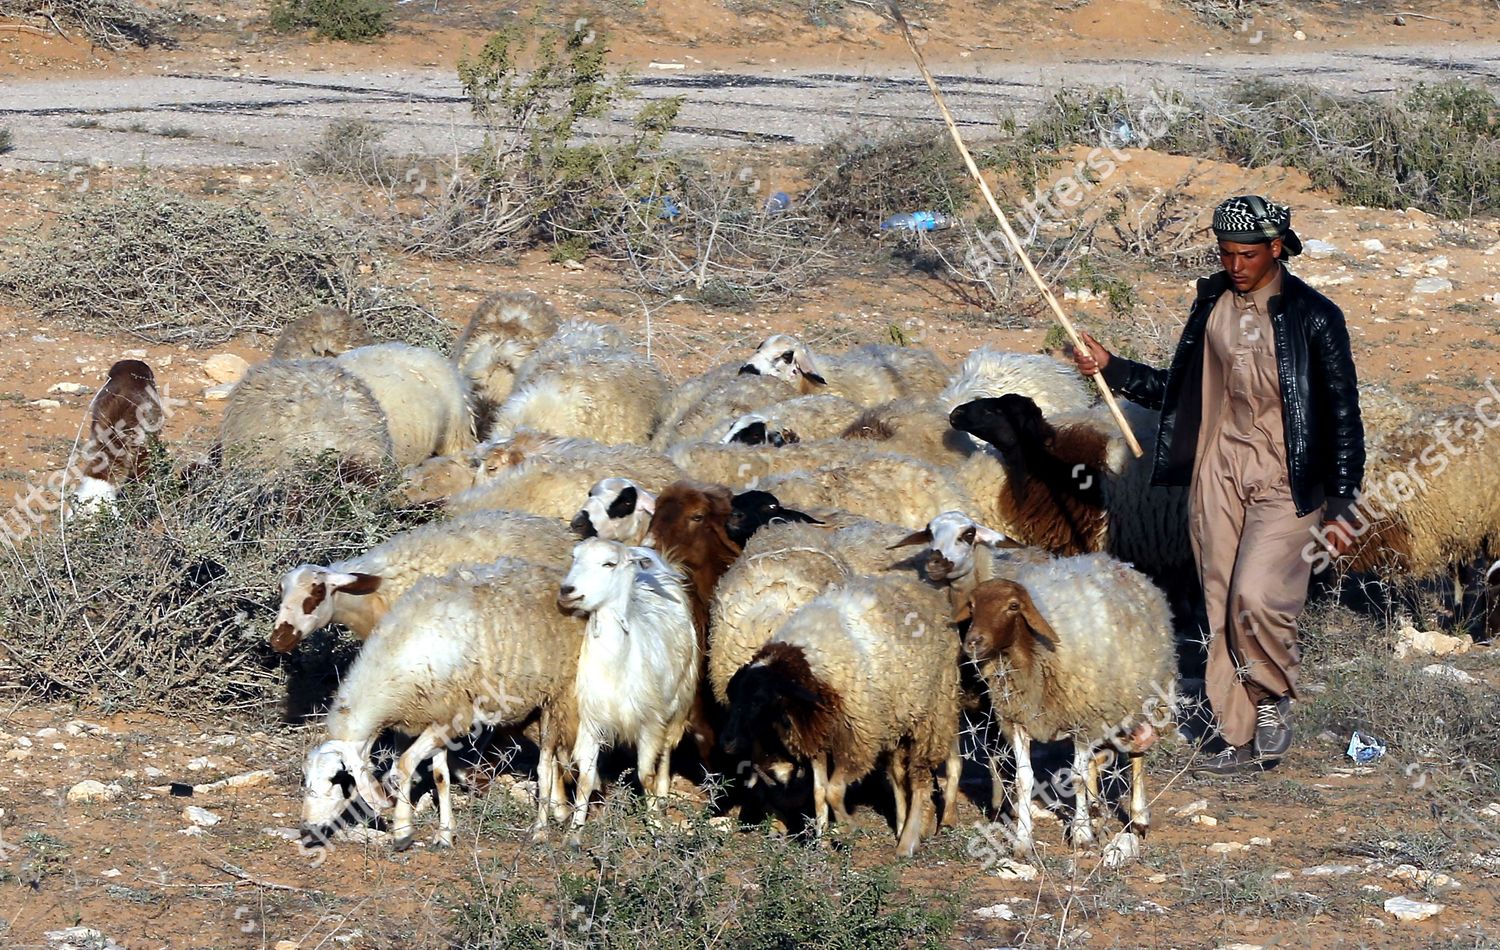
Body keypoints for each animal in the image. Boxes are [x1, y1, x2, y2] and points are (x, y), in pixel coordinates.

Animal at [300, 556, 581, 849]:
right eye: (306, 779)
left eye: (337, 778)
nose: (307, 826)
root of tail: (552, 575)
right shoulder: (437, 716)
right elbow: (440, 777)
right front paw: (445, 833)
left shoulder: (452, 719)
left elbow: (404, 766)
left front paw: (402, 830)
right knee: (553, 757)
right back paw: (560, 810)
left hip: (557, 696)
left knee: (545, 763)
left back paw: (542, 828)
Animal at [558, 540, 699, 839]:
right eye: (574, 556)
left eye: (609, 563)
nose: (567, 590)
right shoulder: (590, 722)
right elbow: (585, 779)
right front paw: (575, 831)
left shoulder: (649, 721)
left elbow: (646, 775)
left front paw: (655, 825)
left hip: (679, 700)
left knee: (666, 751)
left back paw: (663, 794)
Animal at [722, 573, 961, 857]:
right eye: (734, 696)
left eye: (760, 701)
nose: (727, 743)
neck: (808, 673)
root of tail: (926, 589)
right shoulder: (816, 740)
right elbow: (819, 792)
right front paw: (822, 841)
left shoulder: (858, 742)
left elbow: (833, 792)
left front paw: (847, 828)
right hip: (897, 722)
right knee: (899, 777)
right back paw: (903, 827)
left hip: (932, 717)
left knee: (920, 779)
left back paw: (908, 841)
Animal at [962, 553, 1176, 859]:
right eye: (972, 605)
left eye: (1013, 606)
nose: (972, 643)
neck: (1029, 658)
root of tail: (1119, 563)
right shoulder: (1017, 721)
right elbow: (1024, 780)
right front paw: (1022, 840)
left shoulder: (1082, 720)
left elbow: (1076, 777)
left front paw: (1082, 835)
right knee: (1100, 760)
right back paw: (1097, 806)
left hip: (1139, 700)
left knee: (1136, 754)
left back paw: (1138, 818)